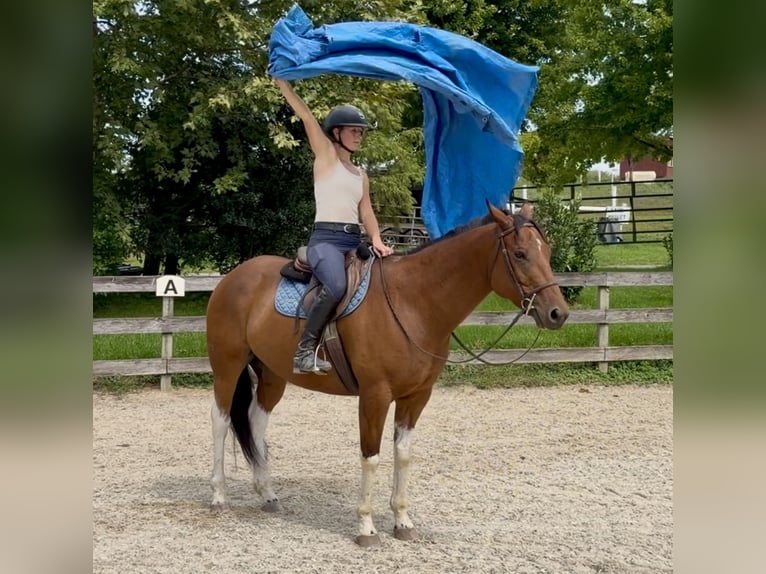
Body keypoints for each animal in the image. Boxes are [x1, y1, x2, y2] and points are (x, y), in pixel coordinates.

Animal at [206, 202, 569, 546]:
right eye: (520, 254)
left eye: (547, 252)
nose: (558, 313)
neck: (414, 302)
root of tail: (232, 278)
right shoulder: (374, 396)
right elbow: (371, 457)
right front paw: (366, 528)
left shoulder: (416, 397)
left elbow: (403, 455)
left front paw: (402, 521)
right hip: (227, 368)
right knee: (221, 422)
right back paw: (219, 496)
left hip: (272, 374)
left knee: (256, 423)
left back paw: (267, 493)